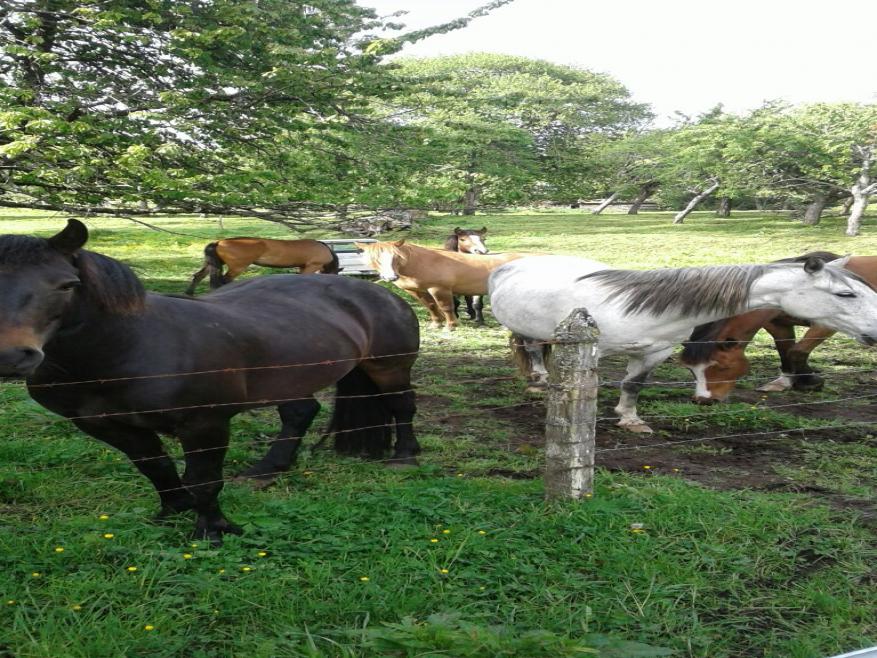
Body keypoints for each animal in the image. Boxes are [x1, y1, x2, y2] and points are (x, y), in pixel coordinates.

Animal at [185, 237, 340, 294]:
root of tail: (219, 241)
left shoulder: (303, 266)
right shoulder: (312, 266)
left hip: (211, 264)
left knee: (198, 276)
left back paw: (189, 293)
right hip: (237, 267)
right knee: (225, 280)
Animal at [356, 240, 524, 330]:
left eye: (396, 257)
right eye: (375, 259)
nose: (391, 277)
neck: (419, 263)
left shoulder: (439, 289)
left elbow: (446, 307)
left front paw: (451, 325)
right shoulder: (416, 291)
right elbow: (430, 306)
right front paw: (436, 324)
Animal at [680, 253, 877, 403]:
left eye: (722, 367)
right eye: (690, 370)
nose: (703, 401)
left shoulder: (826, 325)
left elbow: (796, 351)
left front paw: (811, 381)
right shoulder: (779, 326)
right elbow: (785, 351)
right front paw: (786, 381)